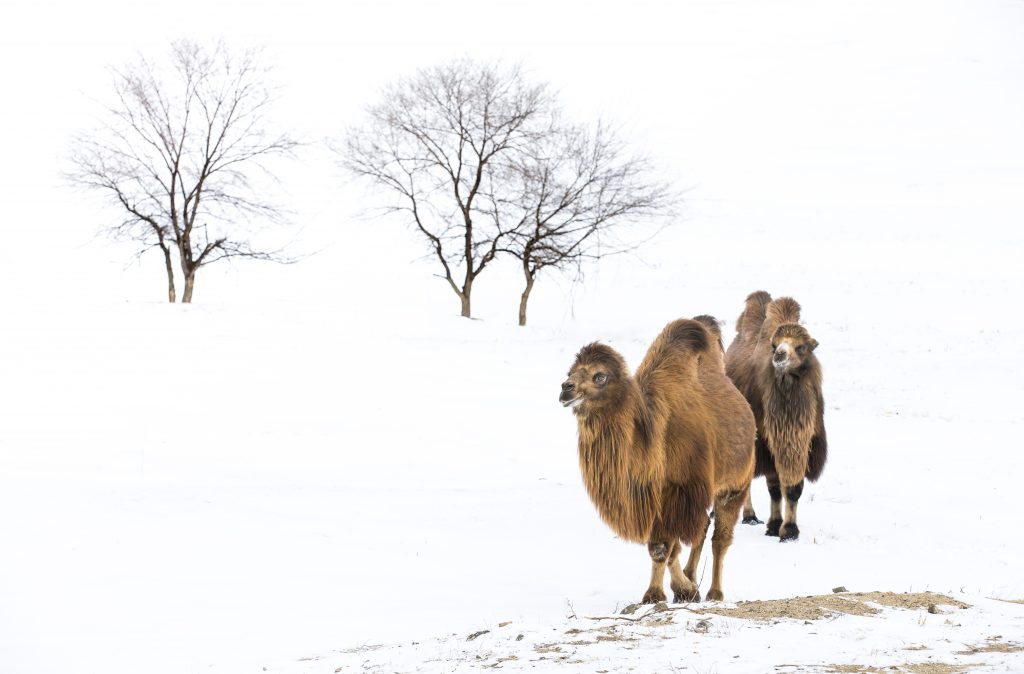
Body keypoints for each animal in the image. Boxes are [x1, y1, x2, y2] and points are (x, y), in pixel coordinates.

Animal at [559, 318, 756, 603]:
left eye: (600, 376)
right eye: (570, 372)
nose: (566, 389)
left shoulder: (678, 493)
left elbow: (665, 547)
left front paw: (669, 592)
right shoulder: (654, 498)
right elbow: (665, 548)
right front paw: (674, 591)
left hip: (735, 485)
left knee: (720, 538)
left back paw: (715, 593)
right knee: (701, 530)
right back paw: (693, 577)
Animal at [724, 291, 827, 542]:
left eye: (801, 347)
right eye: (773, 345)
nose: (780, 354)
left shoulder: (801, 442)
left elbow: (793, 488)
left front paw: (788, 531)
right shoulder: (767, 443)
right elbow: (774, 487)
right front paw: (776, 526)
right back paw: (746, 516)